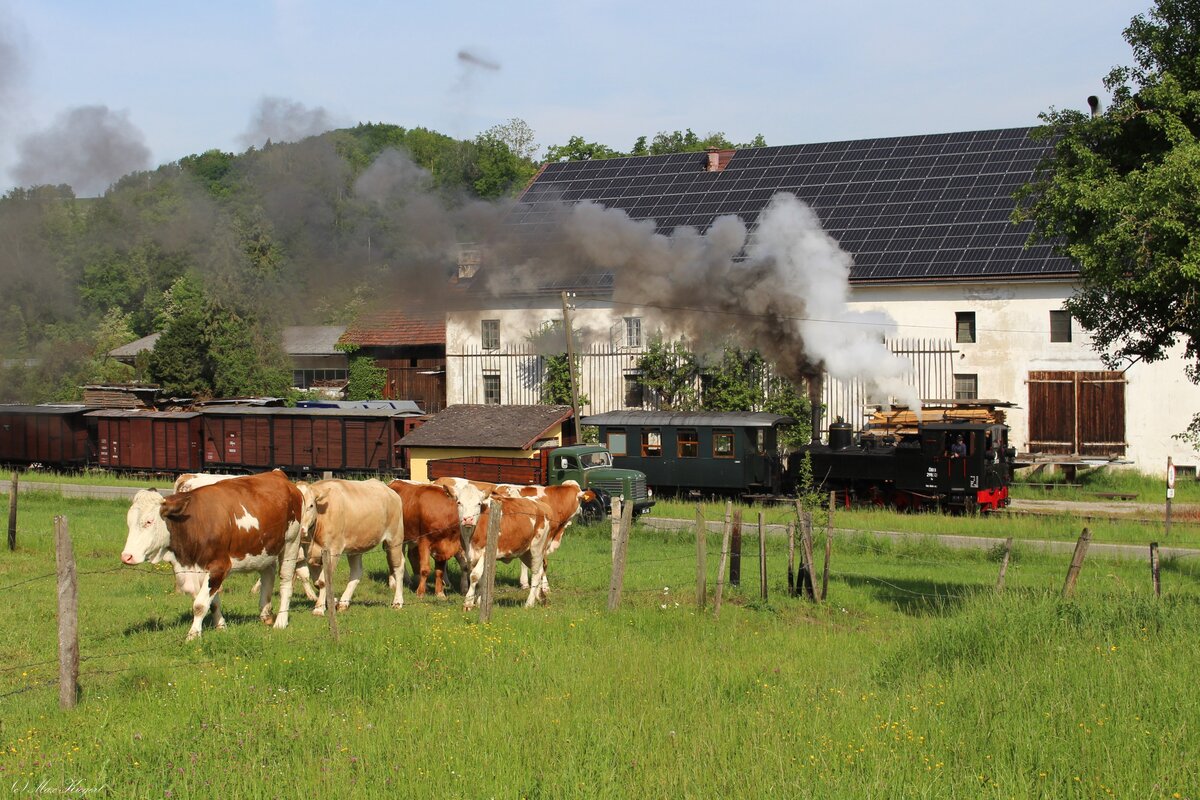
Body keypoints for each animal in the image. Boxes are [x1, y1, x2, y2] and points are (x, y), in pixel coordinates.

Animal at [122, 469, 305, 641]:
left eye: (149, 521)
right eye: (129, 523)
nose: (126, 556)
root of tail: (277, 474)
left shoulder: (219, 566)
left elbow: (200, 605)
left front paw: (193, 635)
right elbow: (213, 603)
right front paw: (221, 626)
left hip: (291, 543)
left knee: (286, 582)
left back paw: (281, 621)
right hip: (265, 549)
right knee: (268, 573)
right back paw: (265, 613)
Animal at [305, 478, 405, 612]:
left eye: (310, 505)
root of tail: (388, 489)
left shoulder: (333, 550)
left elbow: (323, 581)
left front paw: (319, 609)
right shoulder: (310, 555)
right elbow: (317, 582)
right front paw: (331, 601)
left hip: (395, 539)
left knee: (398, 567)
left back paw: (398, 602)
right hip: (356, 547)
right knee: (357, 572)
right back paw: (343, 602)